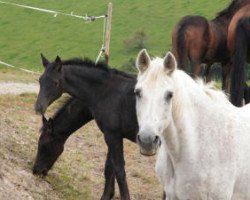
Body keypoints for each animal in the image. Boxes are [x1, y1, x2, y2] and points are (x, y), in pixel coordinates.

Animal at [34, 56, 138, 200]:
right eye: (40, 80)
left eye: (44, 145)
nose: (36, 170)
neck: (105, 91)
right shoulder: (113, 135)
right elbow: (109, 168)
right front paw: (108, 195)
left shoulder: (112, 136)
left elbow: (119, 170)